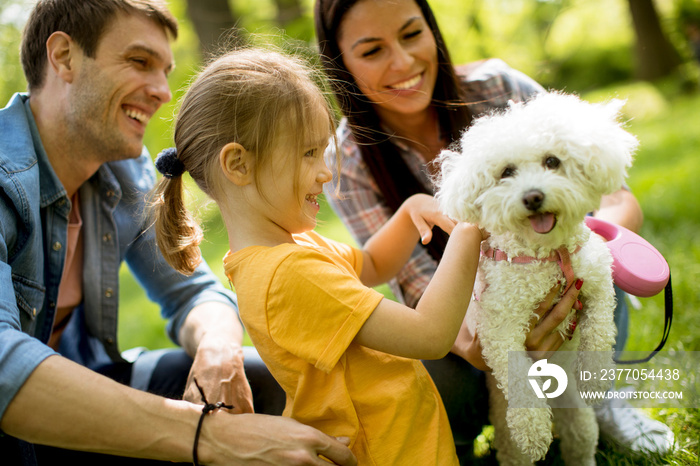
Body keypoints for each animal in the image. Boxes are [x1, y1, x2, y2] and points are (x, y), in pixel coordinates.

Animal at [438, 93, 640, 464]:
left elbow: (600, 329)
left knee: (580, 446)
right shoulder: (500, 326)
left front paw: (595, 378)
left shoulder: (598, 279)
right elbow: (517, 375)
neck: (548, 255)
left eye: (552, 161)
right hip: (506, 437)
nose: (532, 196)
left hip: (578, 420)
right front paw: (532, 429)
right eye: (506, 172)